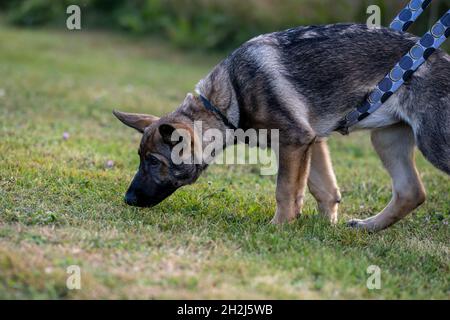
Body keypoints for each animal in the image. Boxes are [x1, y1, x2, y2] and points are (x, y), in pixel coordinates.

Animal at [113, 23, 450, 231]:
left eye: (153, 162)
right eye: (141, 160)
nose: (128, 200)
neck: (228, 100)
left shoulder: (294, 141)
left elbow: (285, 190)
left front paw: (279, 227)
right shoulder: (312, 142)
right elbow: (323, 190)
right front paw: (324, 230)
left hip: (434, 144)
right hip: (386, 138)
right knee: (411, 191)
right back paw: (367, 228)